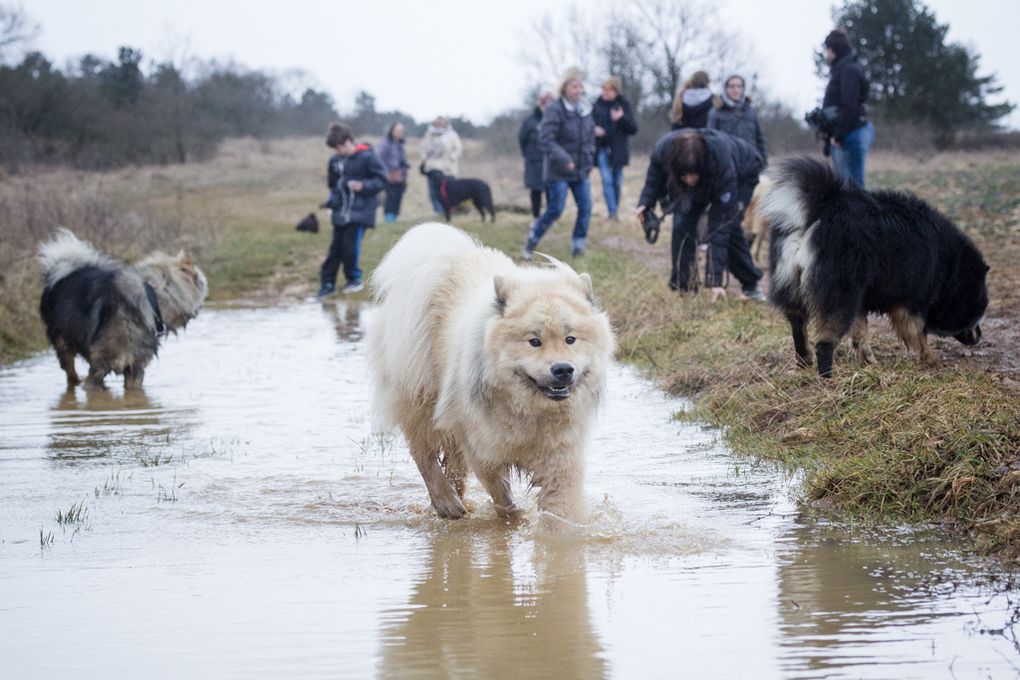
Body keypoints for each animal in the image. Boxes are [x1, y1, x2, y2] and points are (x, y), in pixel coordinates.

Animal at [37, 228, 209, 387]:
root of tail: (59, 271)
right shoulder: (100, 367)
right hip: (63, 344)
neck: (153, 297)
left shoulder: (135, 367)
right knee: (70, 373)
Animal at [371, 226, 616, 526]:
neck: (529, 411)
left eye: (570, 339)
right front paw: (512, 519)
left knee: (452, 464)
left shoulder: (560, 456)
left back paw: (458, 498)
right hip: (422, 397)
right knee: (423, 453)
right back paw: (446, 502)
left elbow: (561, 509)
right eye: (534, 342)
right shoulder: (482, 446)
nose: (562, 369)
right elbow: (500, 491)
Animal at [758, 160, 987, 381]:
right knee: (825, 341)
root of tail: (817, 212)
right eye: (977, 310)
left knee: (798, 325)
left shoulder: (861, 299)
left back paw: (805, 362)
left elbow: (860, 332)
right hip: (838, 291)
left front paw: (867, 361)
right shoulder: (912, 298)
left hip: (792, 283)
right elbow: (917, 332)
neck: (950, 269)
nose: (979, 337)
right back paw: (827, 378)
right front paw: (930, 359)